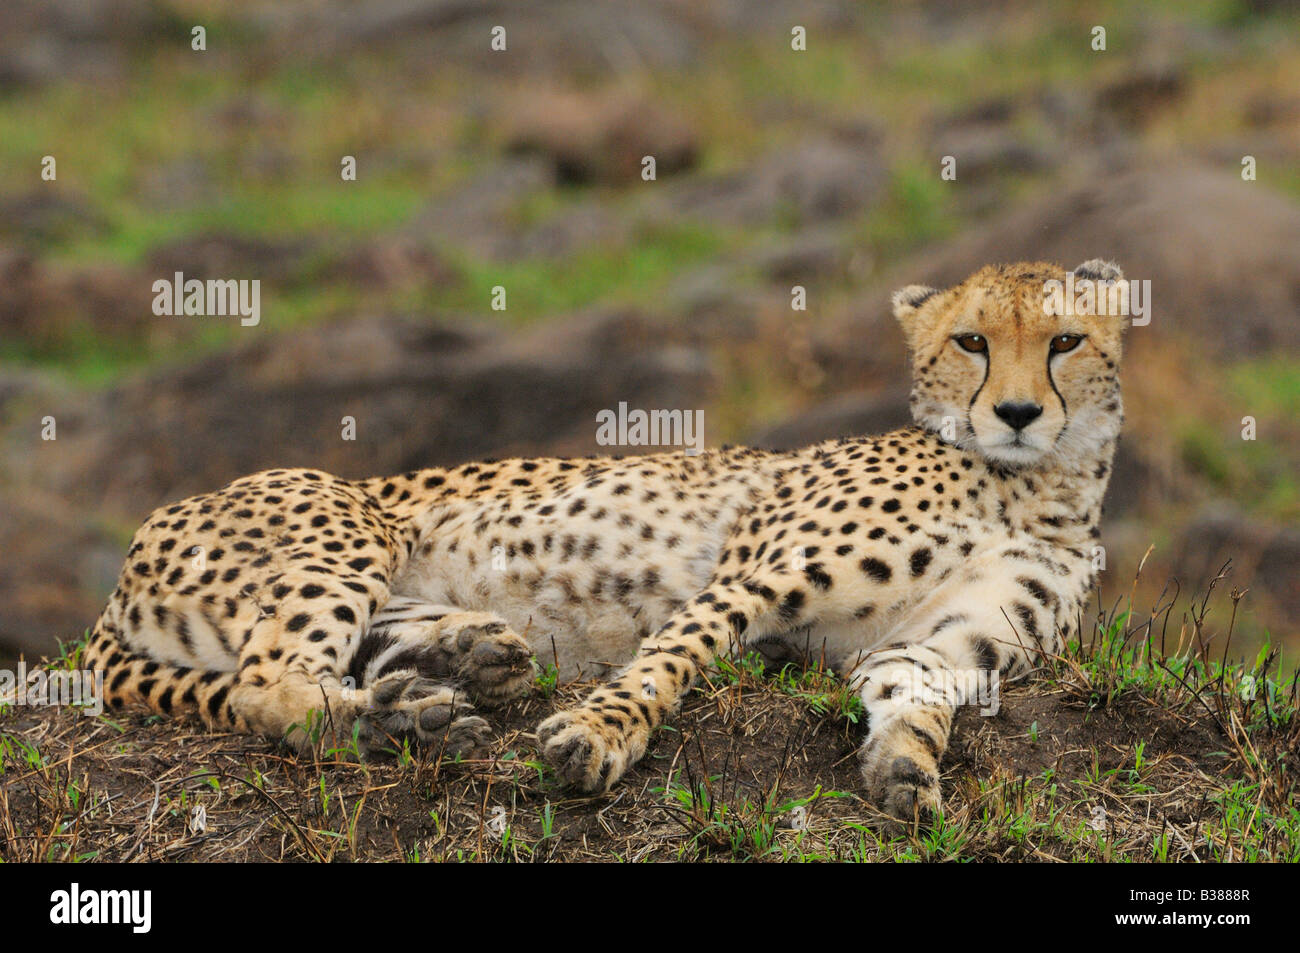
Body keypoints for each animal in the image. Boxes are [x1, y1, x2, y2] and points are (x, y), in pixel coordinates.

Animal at [83, 258, 1128, 816]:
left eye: (1066, 341)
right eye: (971, 342)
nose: (1020, 413)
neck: (1037, 487)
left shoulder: (942, 640)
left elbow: (916, 699)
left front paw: (905, 767)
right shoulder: (748, 580)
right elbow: (666, 661)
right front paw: (595, 735)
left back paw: (458, 664)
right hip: (346, 521)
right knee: (264, 682)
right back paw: (390, 719)